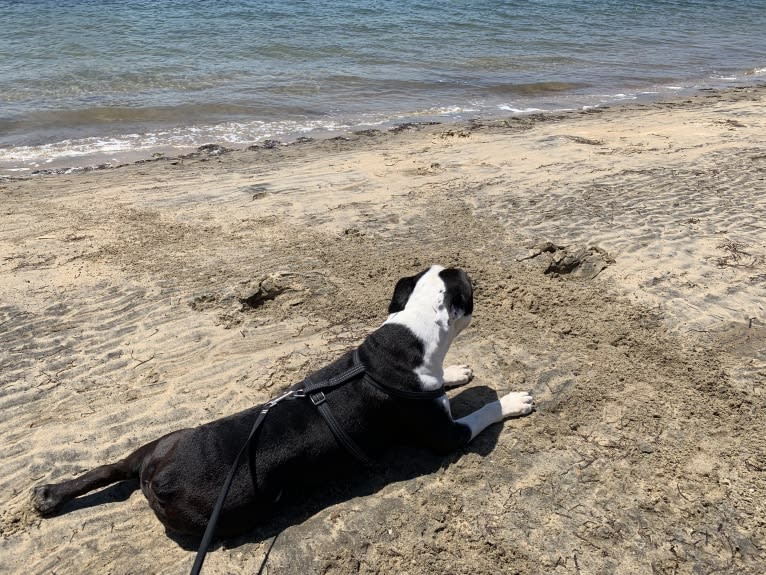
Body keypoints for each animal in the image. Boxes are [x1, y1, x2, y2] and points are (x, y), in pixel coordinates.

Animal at [30, 268, 536, 536]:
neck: (408, 332)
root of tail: (160, 478)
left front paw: (456, 372)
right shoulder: (445, 436)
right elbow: (483, 412)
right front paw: (513, 399)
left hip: (163, 441)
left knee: (110, 467)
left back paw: (51, 495)